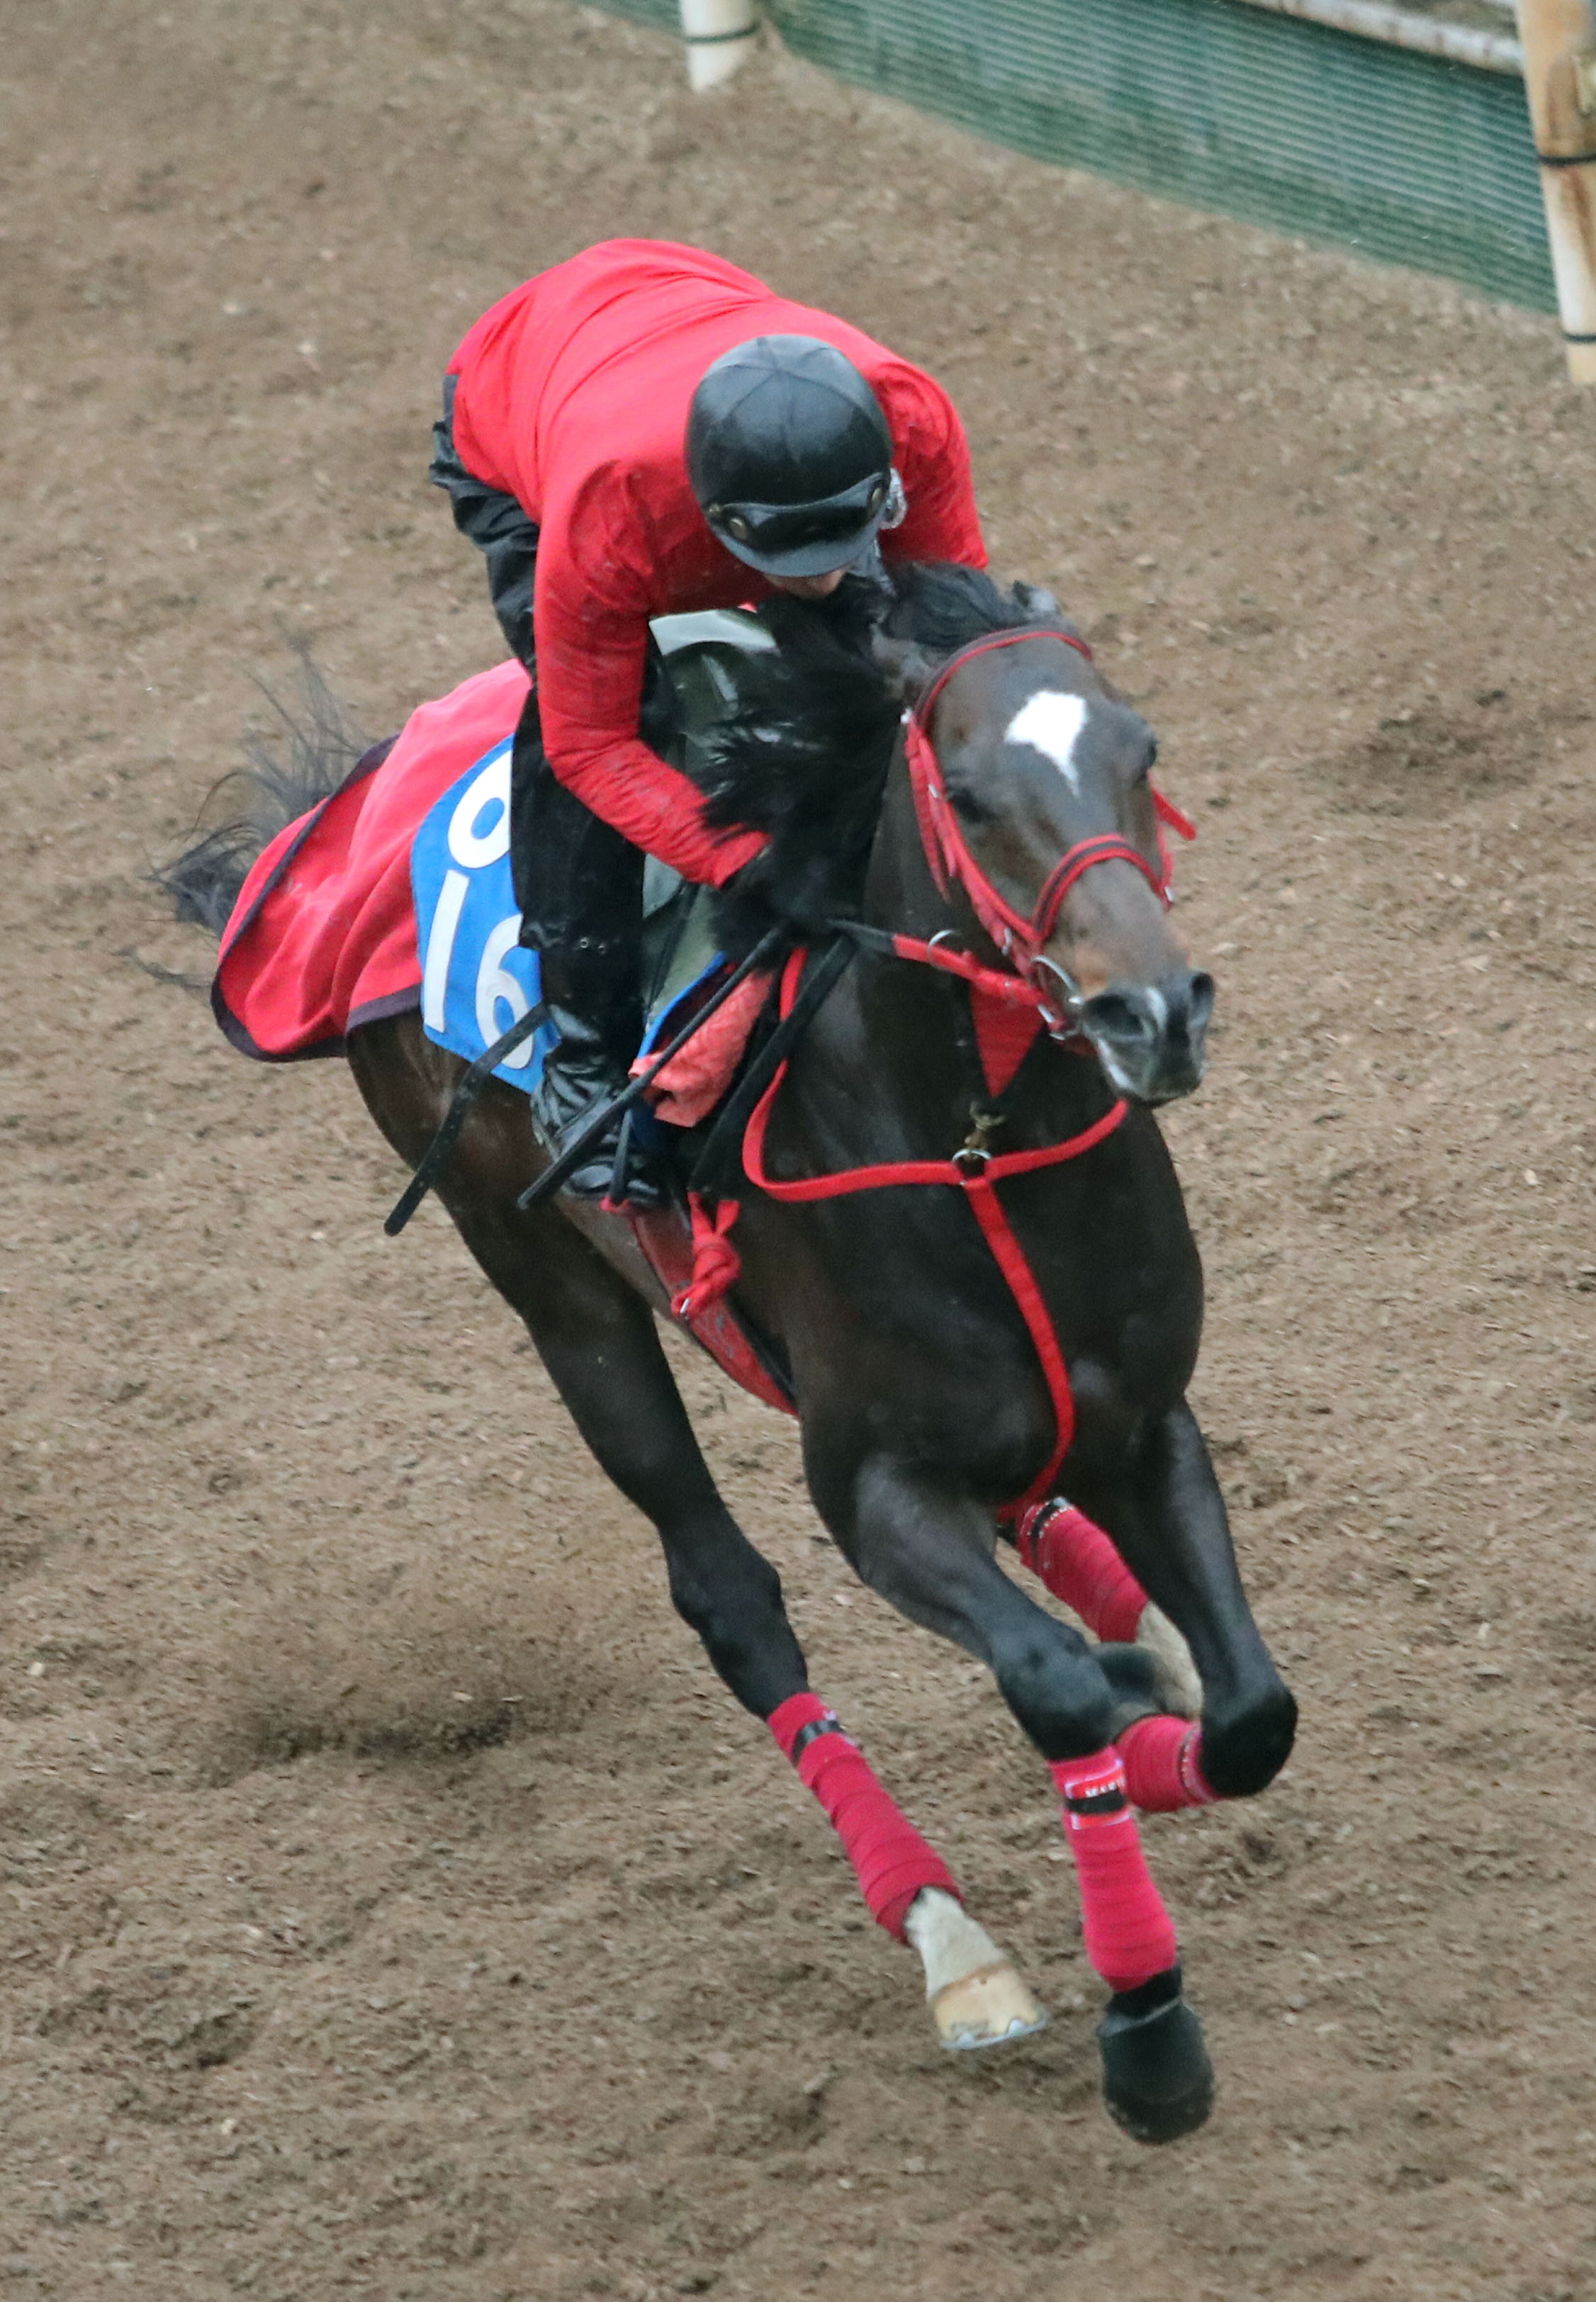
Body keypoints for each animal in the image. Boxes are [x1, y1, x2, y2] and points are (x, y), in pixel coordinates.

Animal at [168, 565, 1296, 2143]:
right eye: (967, 793)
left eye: (1140, 753)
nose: (1153, 1012)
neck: (970, 1151)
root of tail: (358, 790)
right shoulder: (872, 1491)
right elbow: (1057, 1682)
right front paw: (1144, 2020)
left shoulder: (1144, 1419)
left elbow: (1249, 1710)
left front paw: (1172, 1696)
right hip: (556, 1295)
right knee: (730, 1599)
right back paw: (954, 1941)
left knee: (1038, 1515)